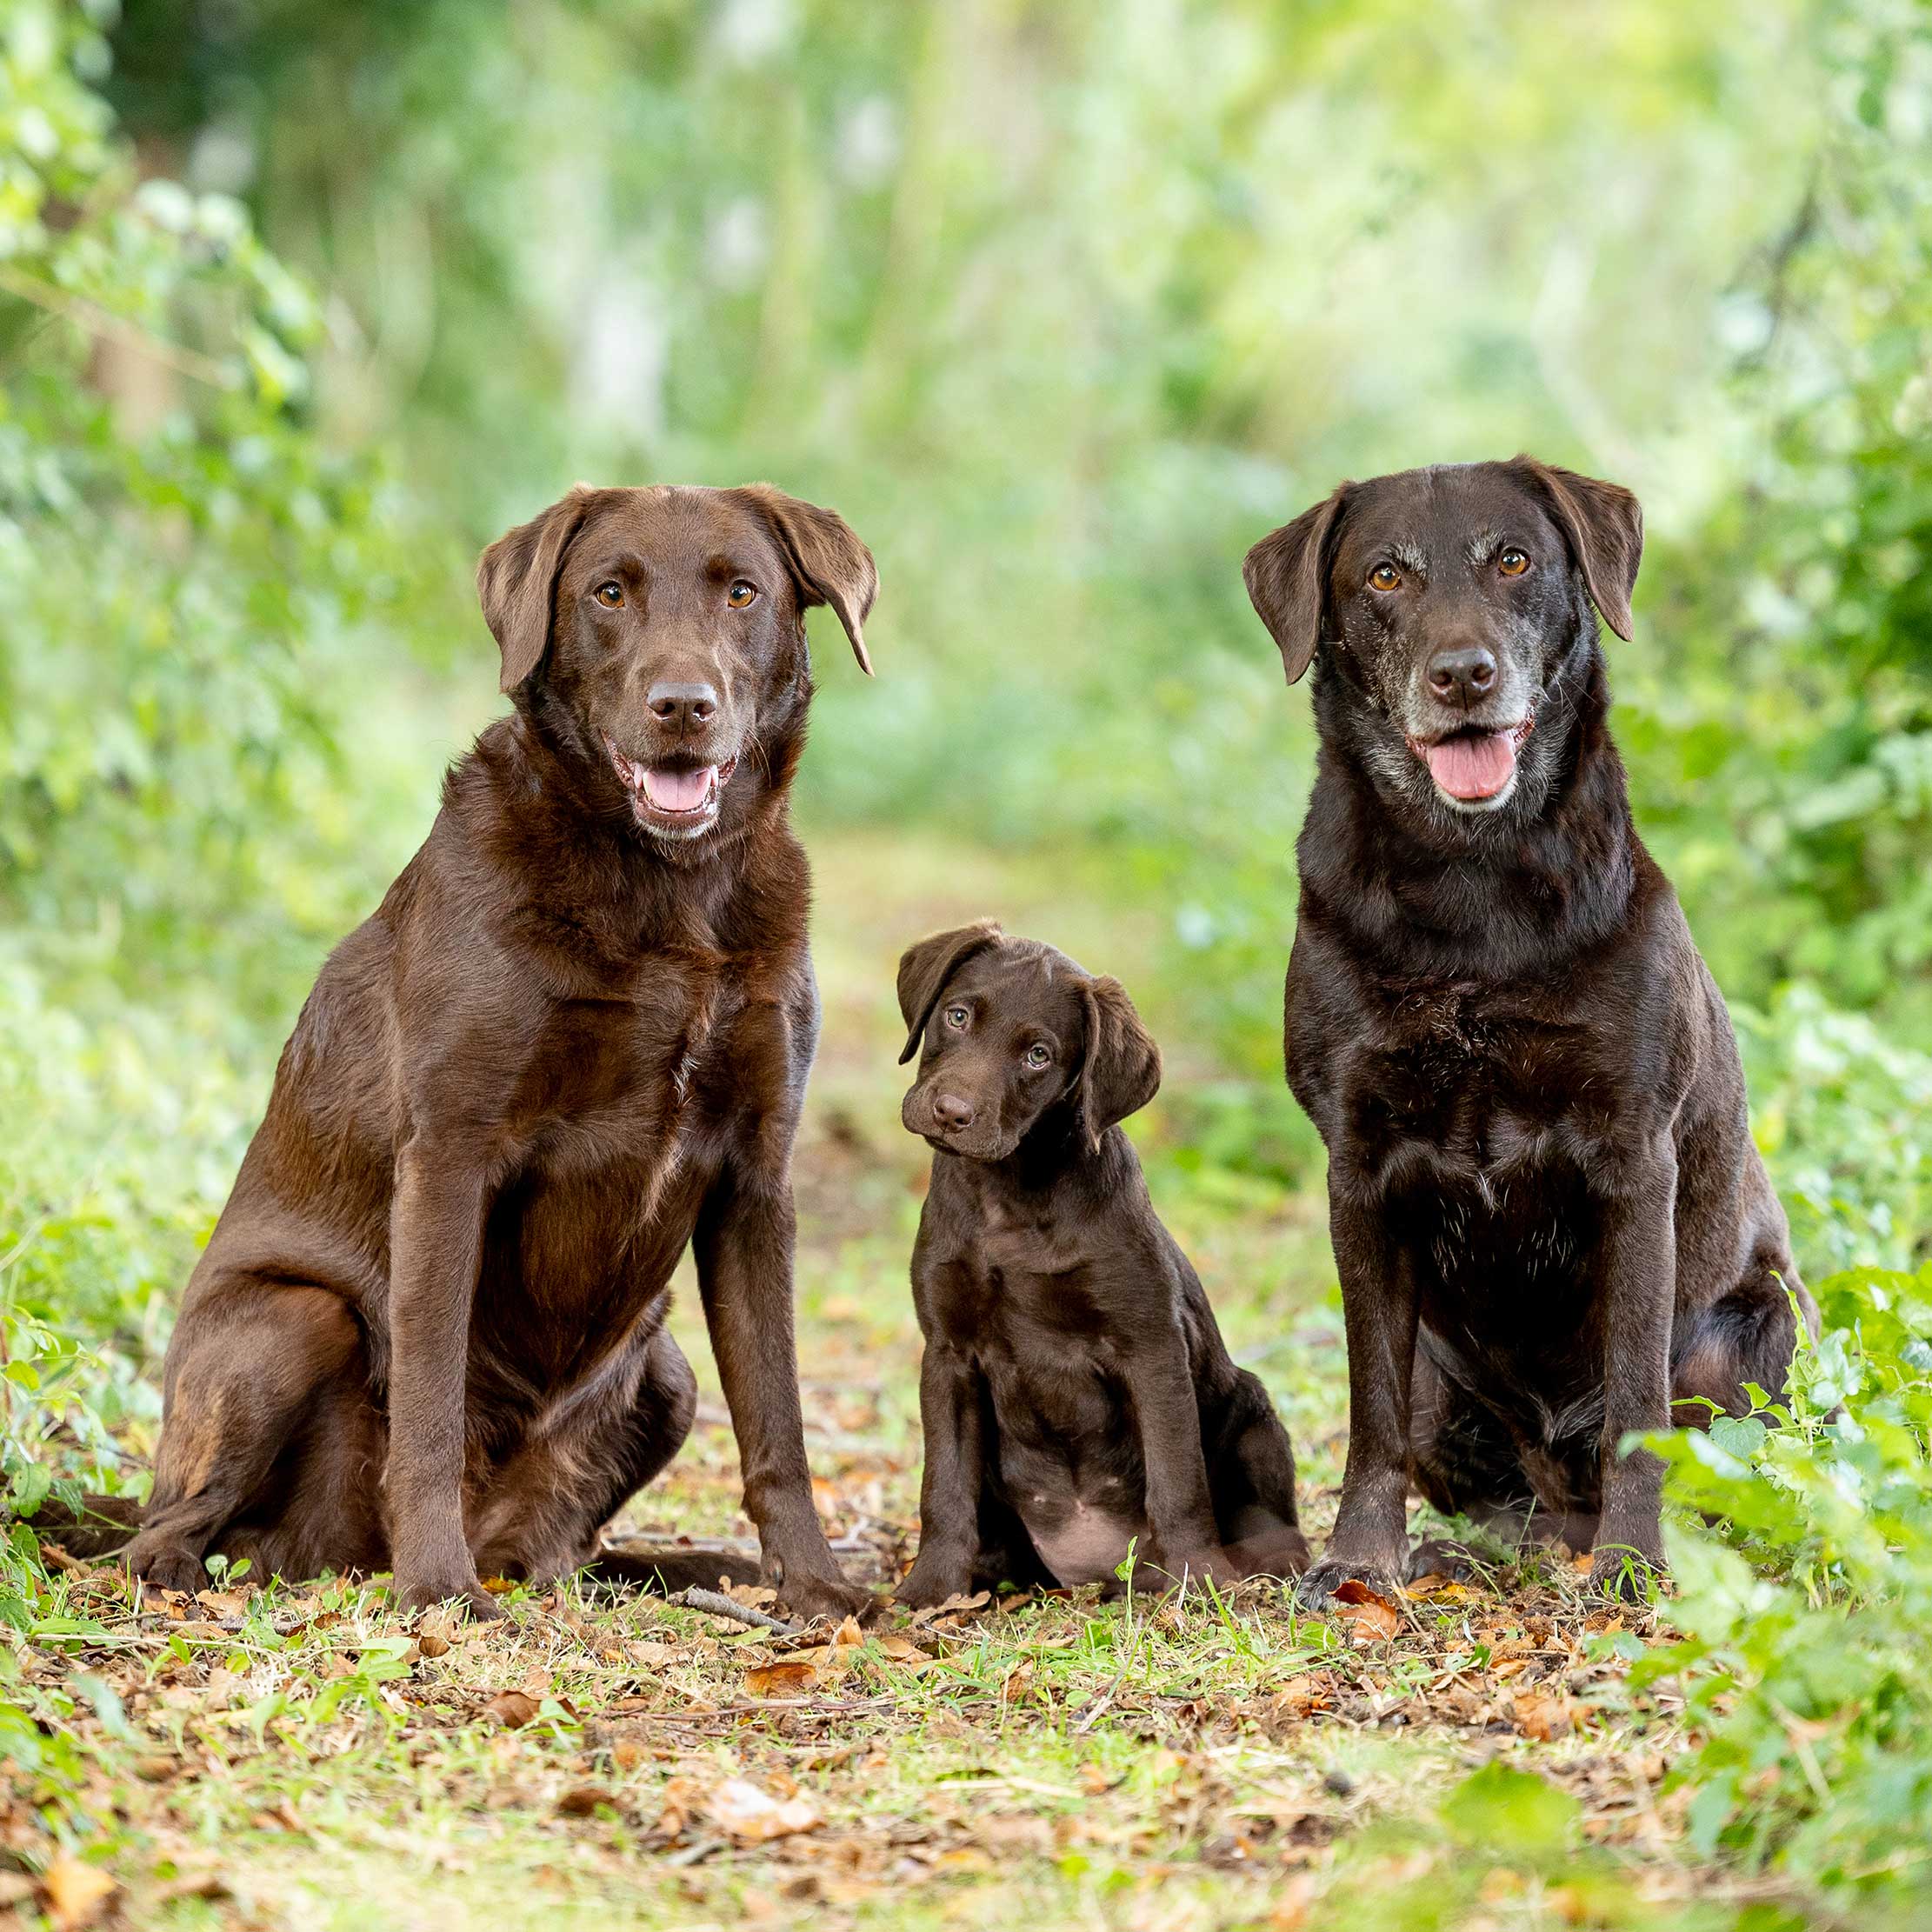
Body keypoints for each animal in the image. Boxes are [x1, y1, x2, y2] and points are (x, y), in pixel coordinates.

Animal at [892, 919, 1313, 1599]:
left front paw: (1197, 1578)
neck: (1012, 1198)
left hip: (1253, 1413)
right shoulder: (948, 1353)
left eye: (1038, 1056)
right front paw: (929, 1592)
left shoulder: (1152, 1346)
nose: (952, 1113)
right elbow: (945, 1486)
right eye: (957, 1016)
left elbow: (1178, 1478)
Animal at [1243, 456, 1815, 1599]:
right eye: (1383, 576)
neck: (1469, 888)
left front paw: (1633, 1562)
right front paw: (1359, 1558)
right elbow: (1368, 1407)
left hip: (1760, 1331)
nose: (1461, 674)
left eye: (1512, 559)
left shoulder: (1632, 1159)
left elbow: (1635, 1401)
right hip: (1444, 1379)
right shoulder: (1358, 1171)